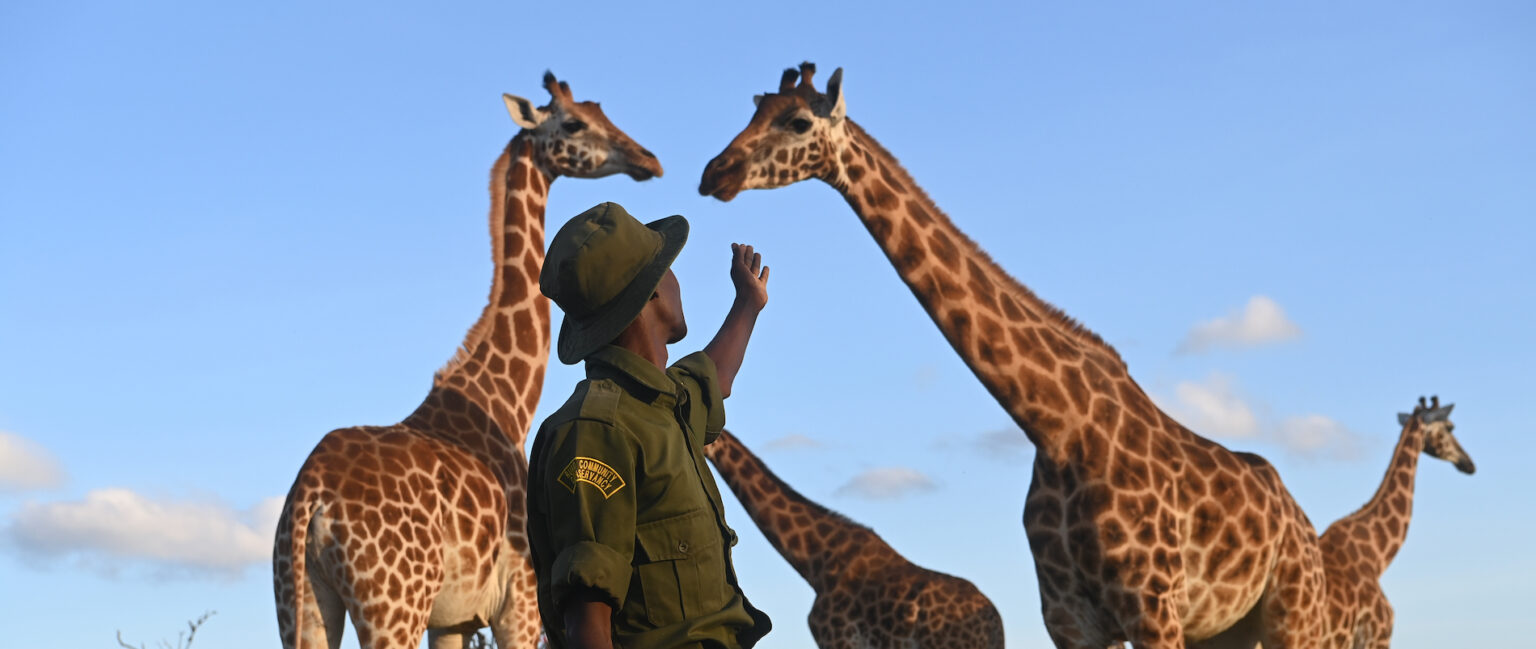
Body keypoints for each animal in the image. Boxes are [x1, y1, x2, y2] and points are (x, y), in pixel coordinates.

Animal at [272, 72, 662, 649]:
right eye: (573, 123)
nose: (647, 160)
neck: (505, 400)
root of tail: (309, 502)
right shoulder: (518, 602)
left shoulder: (452, 619)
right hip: (393, 606)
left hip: (300, 601)